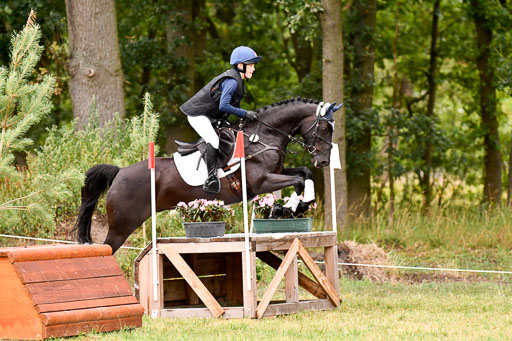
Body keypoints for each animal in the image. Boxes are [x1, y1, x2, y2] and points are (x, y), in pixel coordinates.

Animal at [74, 97, 340, 251]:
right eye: (325, 127)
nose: (324, 161)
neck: (262, 137)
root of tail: (119, 173)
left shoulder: (276, 172)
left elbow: (304, 173)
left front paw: (295, 206)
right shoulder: (261, 182)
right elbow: (299, 180)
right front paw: (286, 208)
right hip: (122, 226)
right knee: (108, 251)